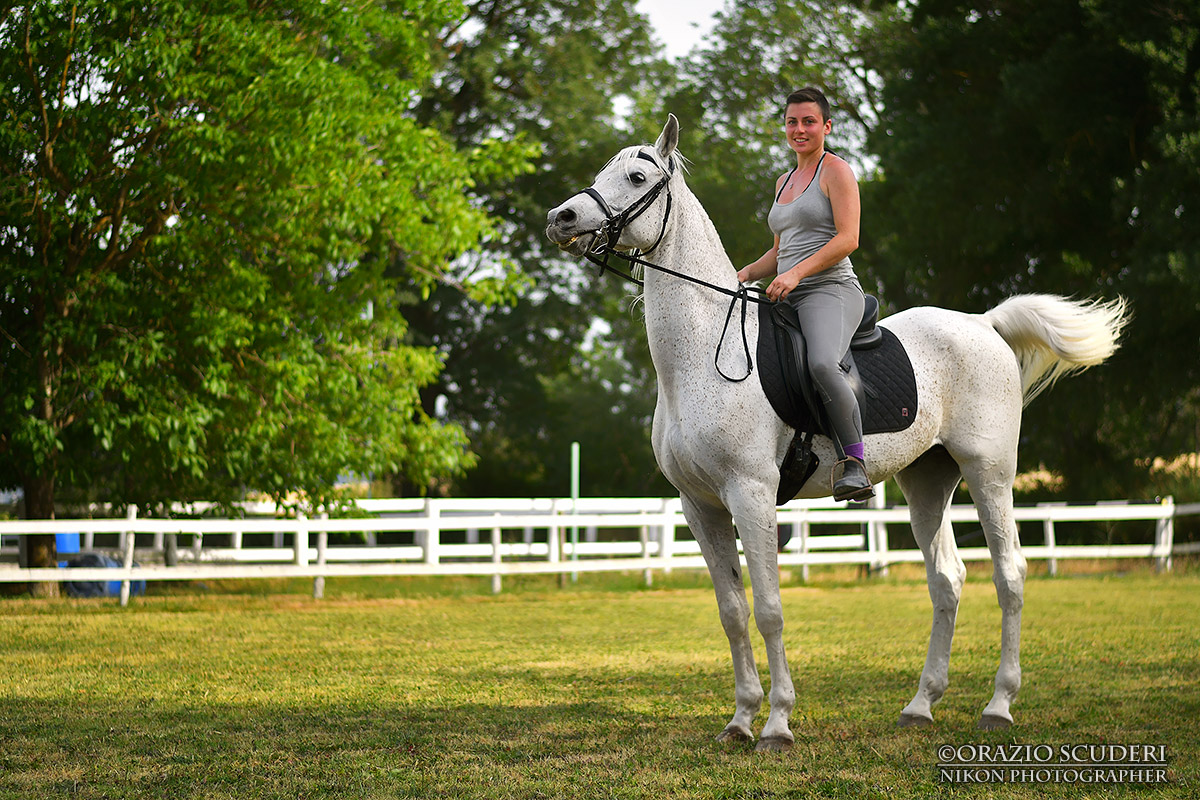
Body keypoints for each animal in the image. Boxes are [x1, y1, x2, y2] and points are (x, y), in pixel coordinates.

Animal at [545, 115, 1128, 751]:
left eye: (636, 176)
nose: (561, 218)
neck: (702, 352)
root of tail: (982, 323)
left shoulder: (749, 493)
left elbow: (769, 609)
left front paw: (776, 723)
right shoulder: (700, 505)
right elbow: (732, 612)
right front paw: (740, 720)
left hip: (989, 473)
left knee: (1010, 575)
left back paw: (999, 704)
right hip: (927, 482)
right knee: (947, 580)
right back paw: (920, 706)